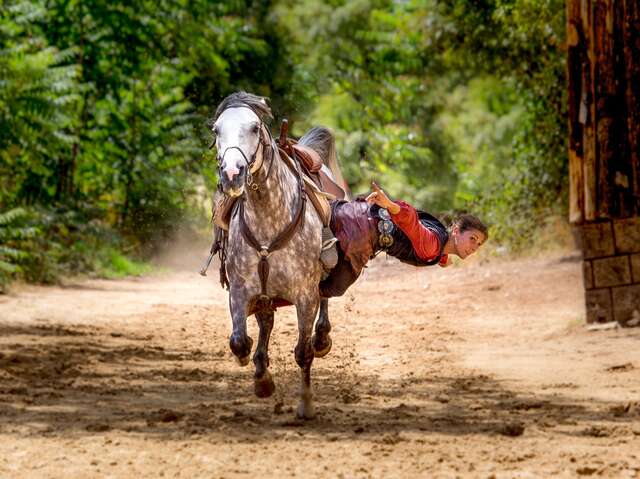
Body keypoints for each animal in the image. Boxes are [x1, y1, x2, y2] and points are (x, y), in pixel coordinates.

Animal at [212, 91, 344, 420]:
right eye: (216, 130)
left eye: (254, 128)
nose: (232, 173)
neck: (268, 217)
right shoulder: (240, 290)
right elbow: (239, 341)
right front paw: (260, 377)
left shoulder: (305, 295)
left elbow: (303, 352)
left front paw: (306, 404)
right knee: (266, 322)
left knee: (322, 305)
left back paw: (322, 338)